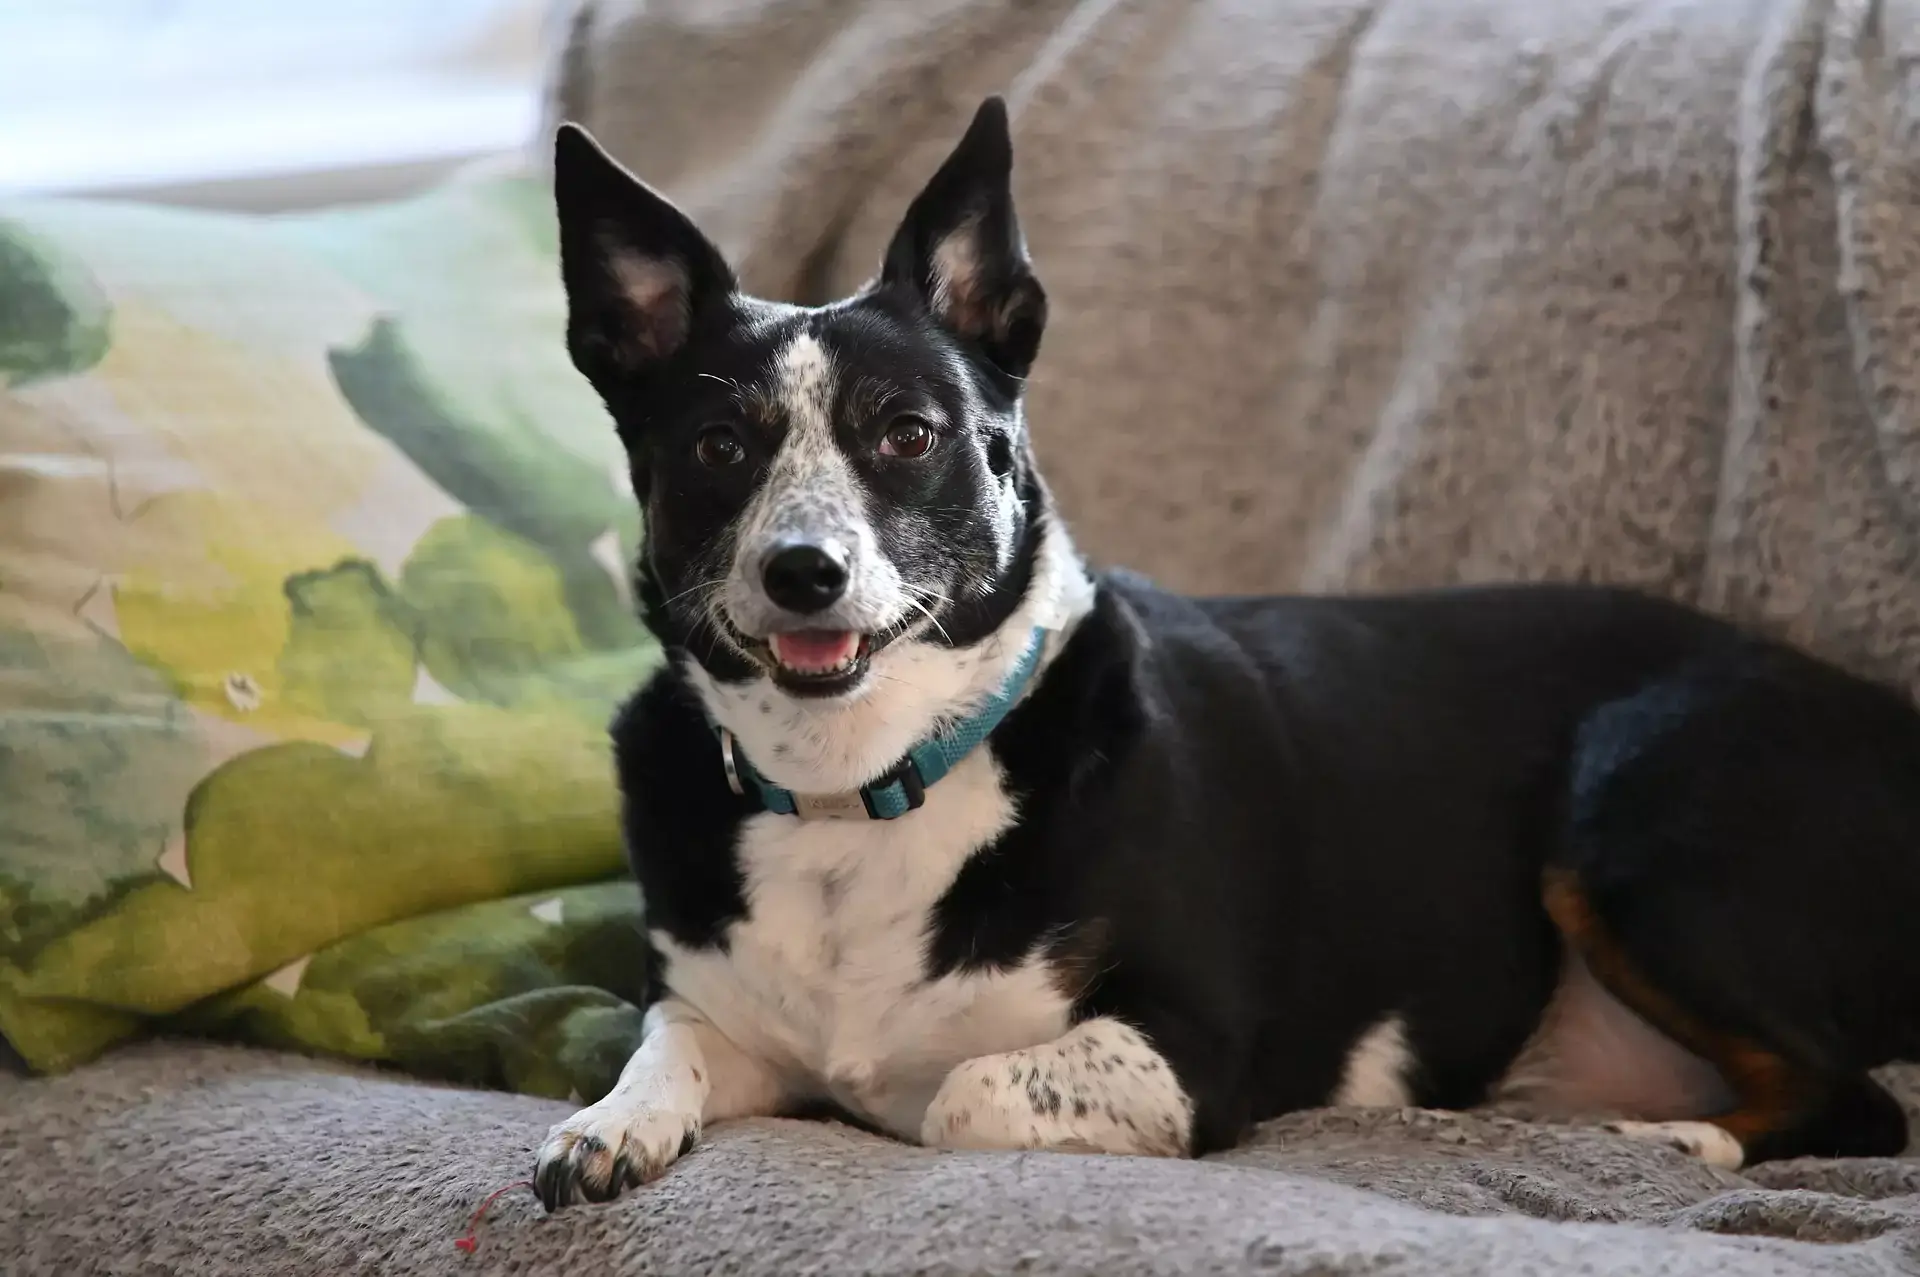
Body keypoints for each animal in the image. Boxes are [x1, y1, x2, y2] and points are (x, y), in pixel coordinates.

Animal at [533, 99, 1920, 1205]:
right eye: (718, 446)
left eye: (907, 431)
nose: (801, 570)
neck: (858, 785)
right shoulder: (716, 1001)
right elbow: (671, 1035)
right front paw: (607, 1123)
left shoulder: (1192, 1048)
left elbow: (963, 1090)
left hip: (1627, 814)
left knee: (1862, 1101)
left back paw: (1675, 1140)